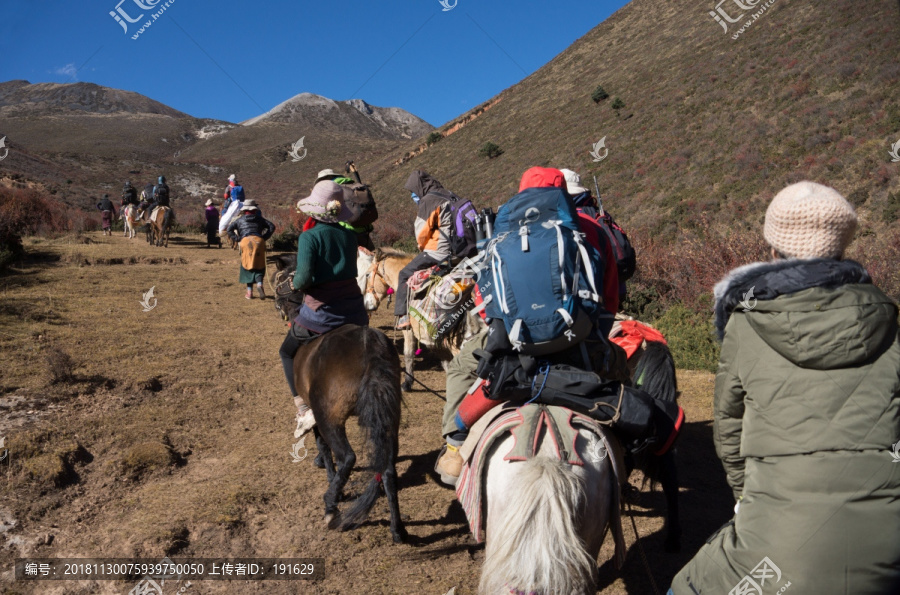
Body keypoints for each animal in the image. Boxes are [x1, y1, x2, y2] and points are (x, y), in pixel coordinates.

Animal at [294, 324, 406, 544]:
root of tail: (370, 345)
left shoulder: (318, 415)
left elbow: (322, 445)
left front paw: (329, 475)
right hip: (389, 420)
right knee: (388, 469)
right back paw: (397, 529)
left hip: (330, 418)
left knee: (347, 457)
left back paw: (331, 507)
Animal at [360, 248, 486, 394]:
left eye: (367, 274)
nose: (366, 305)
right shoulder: (438, 341)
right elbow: (446, 364)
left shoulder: (408, 330)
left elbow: (408, 354)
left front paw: (407, 383)